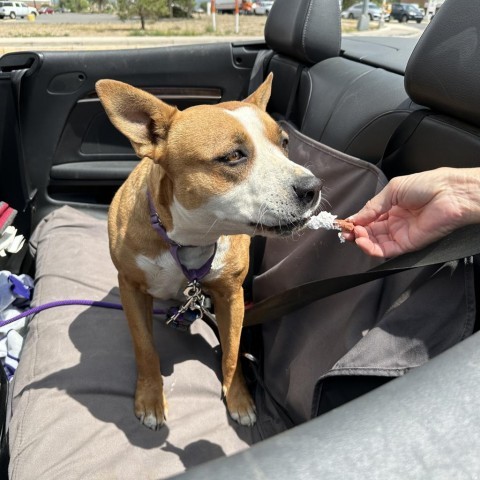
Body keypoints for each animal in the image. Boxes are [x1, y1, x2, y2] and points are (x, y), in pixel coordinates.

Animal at [95, 76, 320, 432]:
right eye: (233, 156)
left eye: (284, 143)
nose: (313, 187)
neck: (191, 238)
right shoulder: (131, 287)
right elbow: (145, 348)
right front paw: (150, 399)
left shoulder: (231, 296)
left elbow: (232, 352)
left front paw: (238, 398)